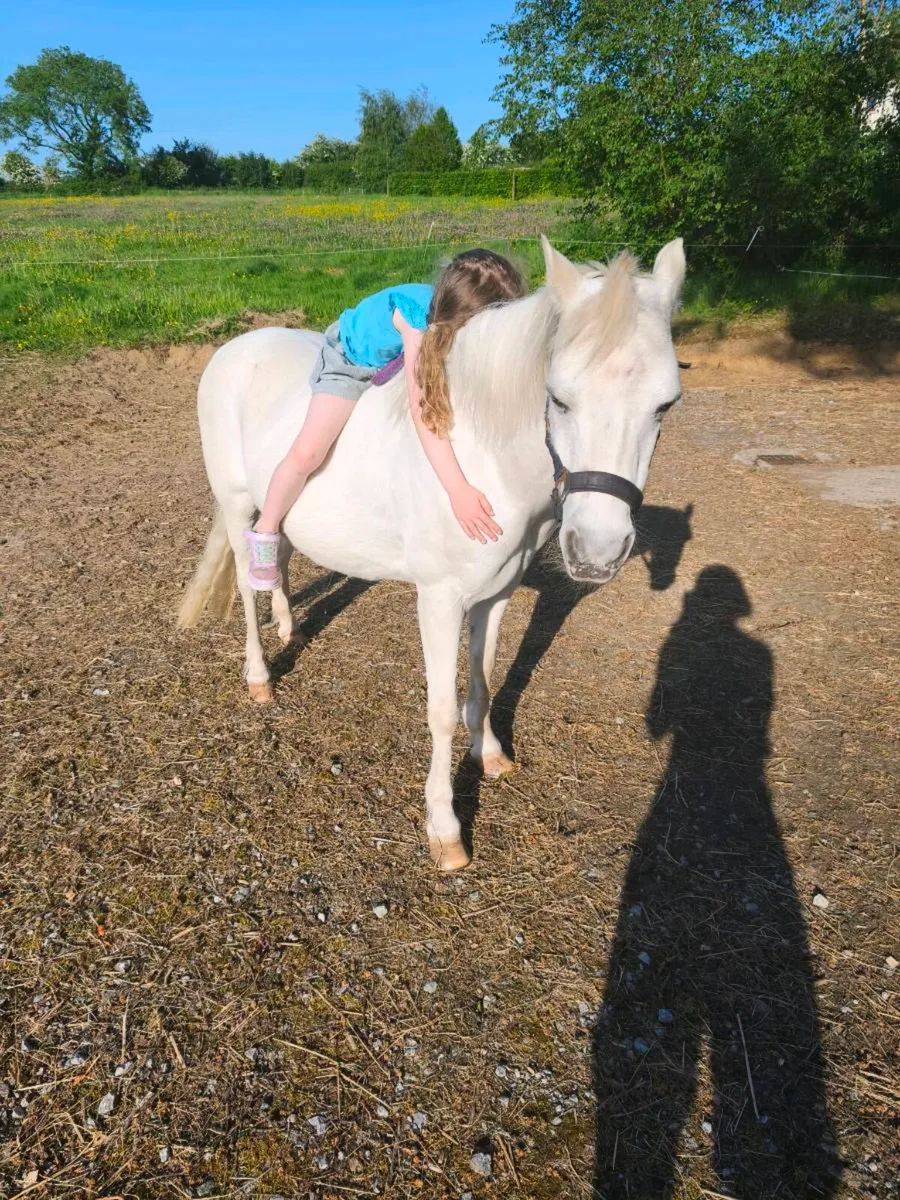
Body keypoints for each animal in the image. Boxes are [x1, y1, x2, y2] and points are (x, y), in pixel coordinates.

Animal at [178, 236, 686, 870]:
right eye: (559, 400)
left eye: (666, 404)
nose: (597, 549)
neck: (480, 456)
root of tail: (232, 349)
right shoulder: (439, 601)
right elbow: (441, 710)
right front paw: (445, 830)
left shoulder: (496, 594)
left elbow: (483, 681)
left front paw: (490, 755)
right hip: (236, 502)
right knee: (249, 580)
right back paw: (259, 675)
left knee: (283, 554)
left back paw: (288, 623)